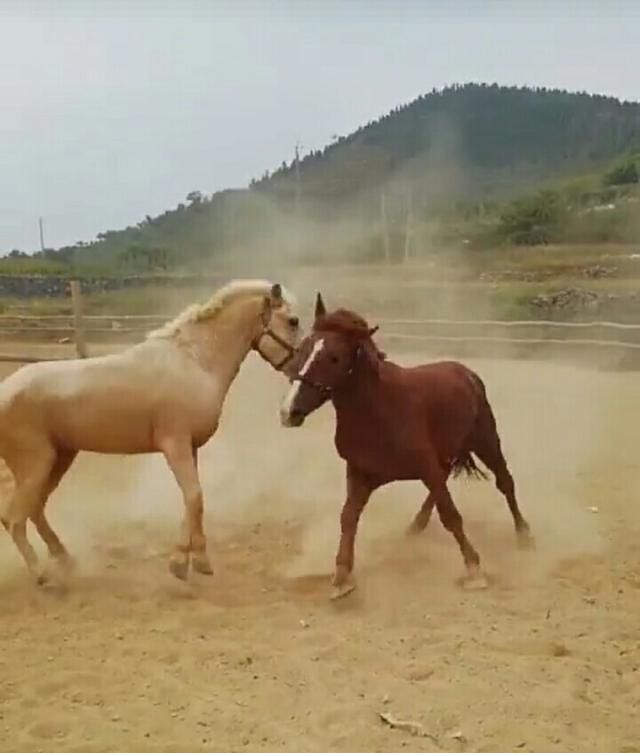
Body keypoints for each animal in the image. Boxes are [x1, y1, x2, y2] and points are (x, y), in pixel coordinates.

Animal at [0, 280, 300, 580]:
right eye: (293, 321)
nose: (299, 370)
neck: (194, 360)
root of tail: (5, 391)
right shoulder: (175, 445)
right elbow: (194, 497)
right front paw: (182, 563)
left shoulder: (189, 447)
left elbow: (193, 501)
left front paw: (194, 561)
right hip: (36, 465)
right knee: (15, 519)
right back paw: (42, 574)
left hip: (59, 459)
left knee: (34, 509)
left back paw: (65, 560)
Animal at [282, 294, 536, 600]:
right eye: (302, 348)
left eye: (334, 358)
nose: (289, 412)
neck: (377, 410)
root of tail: (465, 372)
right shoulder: (360, 472)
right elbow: (348, 518)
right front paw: (342, 578)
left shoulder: (426, 466)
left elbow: (451, 515)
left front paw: (474, 570)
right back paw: (416, 526)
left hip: (485, 439)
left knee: (505, 482)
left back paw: (524, 535)